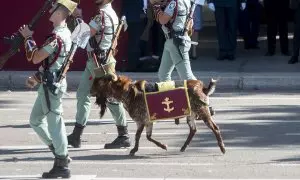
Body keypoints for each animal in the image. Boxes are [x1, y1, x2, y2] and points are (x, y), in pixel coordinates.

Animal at [91, 74, 225, 156]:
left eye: (99, 83)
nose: (90, 91)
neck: (129, 92)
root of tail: (202, 88)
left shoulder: (141, 120)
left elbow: (138, 136)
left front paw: (133, 150)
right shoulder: (148, 120)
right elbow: (148, 137)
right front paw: (163, 146)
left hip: (202, 111)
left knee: (215, 128)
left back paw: (222, 148)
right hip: (190, 114)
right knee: (193, 129)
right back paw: (183, 147)